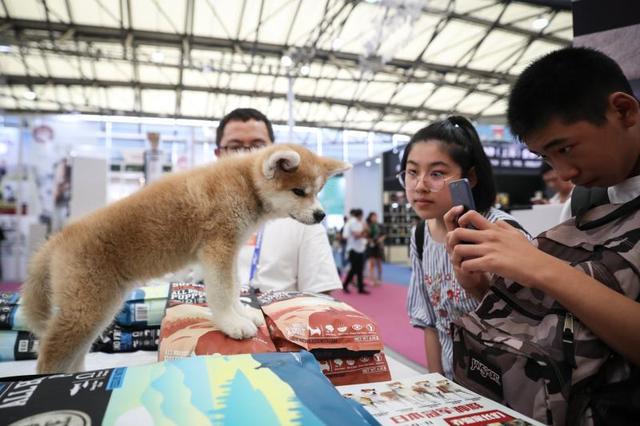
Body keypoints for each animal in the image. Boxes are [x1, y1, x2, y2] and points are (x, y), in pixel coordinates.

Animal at [21, 143, 350, 372]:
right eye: (299, 191)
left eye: (318, 191)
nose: (321, 215)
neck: (245, 184)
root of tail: (58, 239)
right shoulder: (218, 246)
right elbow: (222, 291)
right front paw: (231, 323)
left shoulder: (230, 250)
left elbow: (233, 288)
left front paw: (243, 313)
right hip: (86, 308)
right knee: (51, 353)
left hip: (100, 307)